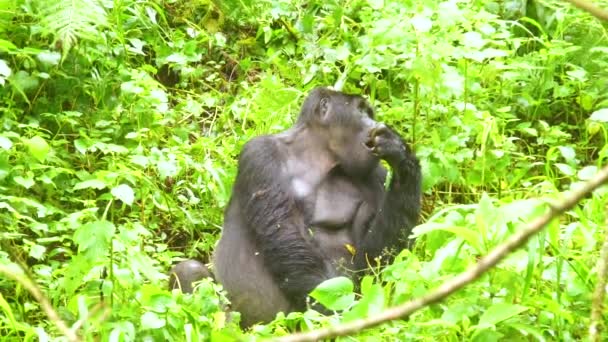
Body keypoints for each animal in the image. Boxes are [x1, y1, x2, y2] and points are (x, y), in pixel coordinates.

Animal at [169, 87, 420, 328]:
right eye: (360, 111)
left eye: (369, 113)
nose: (372, 123)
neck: (317, 157)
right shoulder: (260, 153)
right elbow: (288, 240)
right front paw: (332, 317)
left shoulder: (375, 175)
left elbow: (374, 263)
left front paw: (400, 156)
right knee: (190, 272)